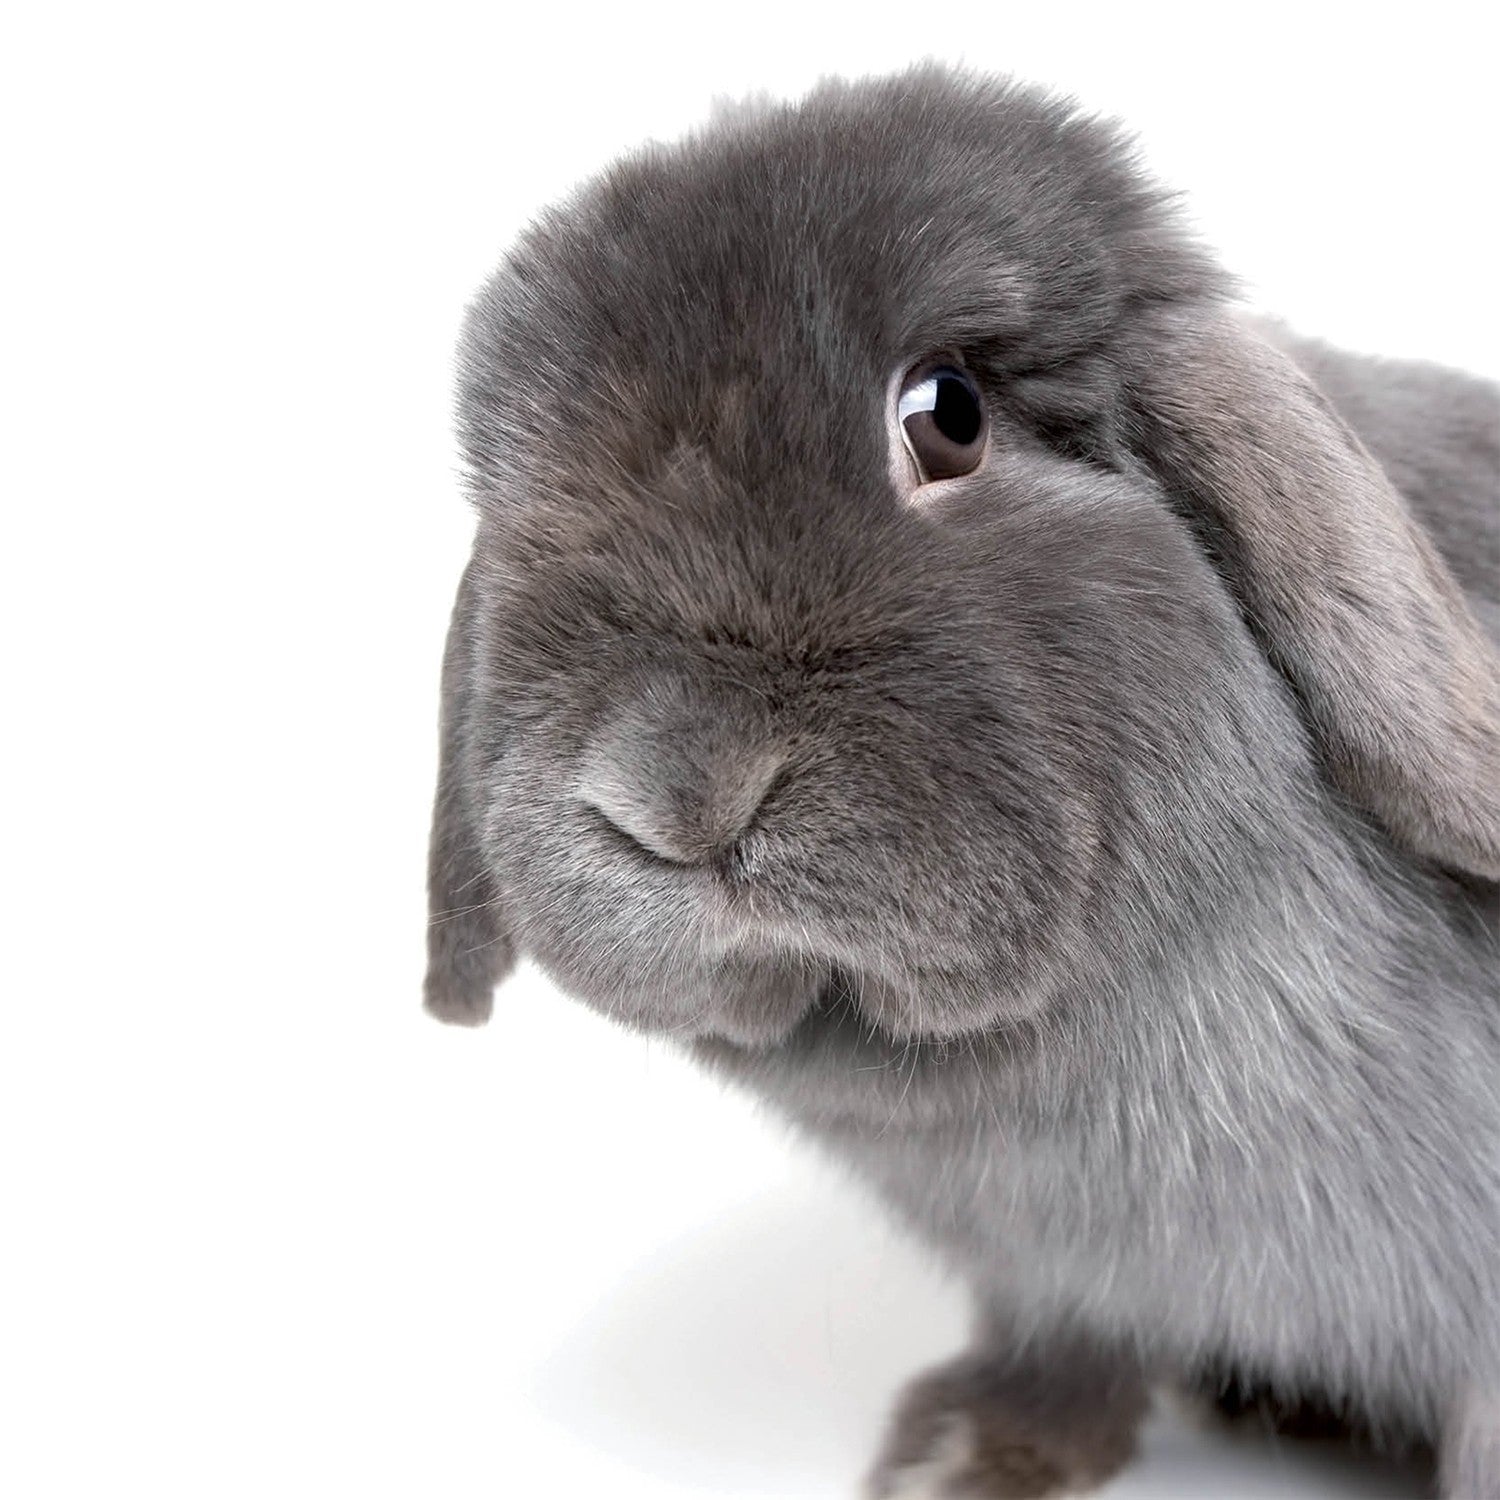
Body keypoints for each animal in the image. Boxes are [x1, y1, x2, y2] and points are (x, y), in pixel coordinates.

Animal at [422, 64, 1500, 1499]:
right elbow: (1060, 1351)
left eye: (948, 414)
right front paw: (962, 1452)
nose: (673, 792)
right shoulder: (1058, 1277)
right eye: (517, 499)